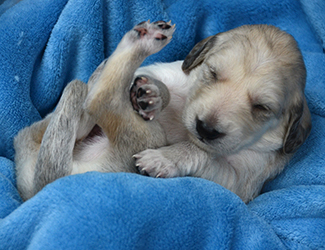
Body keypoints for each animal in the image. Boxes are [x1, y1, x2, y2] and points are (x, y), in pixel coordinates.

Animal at [13, 22, 310, 203]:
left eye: (262, 107)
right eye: (212, 73)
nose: (205, 128)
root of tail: (44, 185)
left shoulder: (241, 180)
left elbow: (203, 154)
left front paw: (163, 158)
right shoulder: (169, 72)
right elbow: (160, 84)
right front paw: (152, 95)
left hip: (138, 140)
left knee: (100, 100)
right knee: (92, 94)